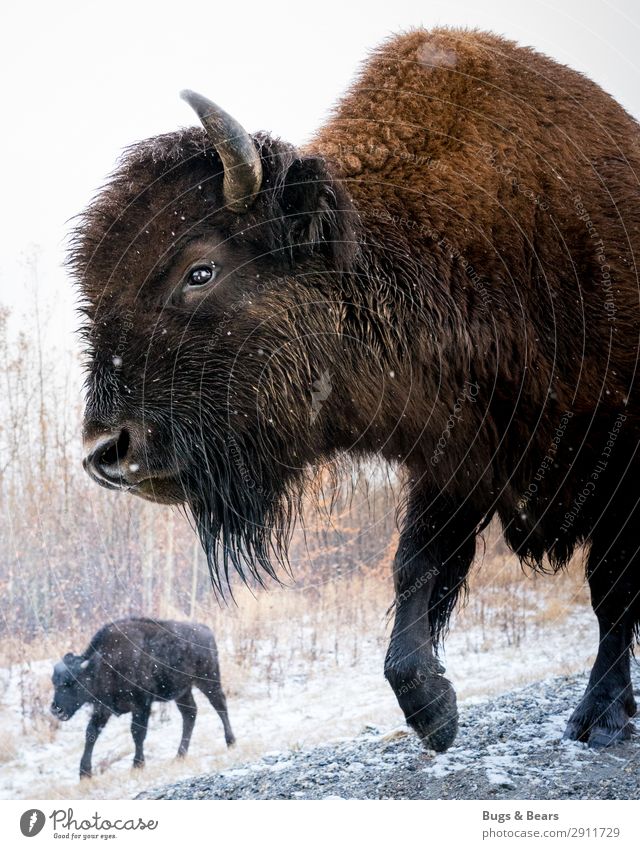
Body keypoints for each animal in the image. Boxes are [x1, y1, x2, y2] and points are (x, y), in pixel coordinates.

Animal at [50, 616, 235, 776]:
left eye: (72, 682)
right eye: (54, 682)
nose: (56, 710)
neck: (103, 664)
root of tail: (206, 631)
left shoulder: (141, 704)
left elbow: (137, 732)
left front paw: (137, 765)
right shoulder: (103, 708)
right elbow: (91, 733)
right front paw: (84, 773)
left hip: (208, 680)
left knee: (220, 706)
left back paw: (231, 742)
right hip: (183, 691)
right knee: (190, 714)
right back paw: (179, 756)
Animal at [70, 26, 640, 752]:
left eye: (200, 270)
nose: (107, 451)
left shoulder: (620, 456)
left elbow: (610, 587)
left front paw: (600, 715)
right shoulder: (454, 460)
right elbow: (417, 569)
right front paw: (432, 711)